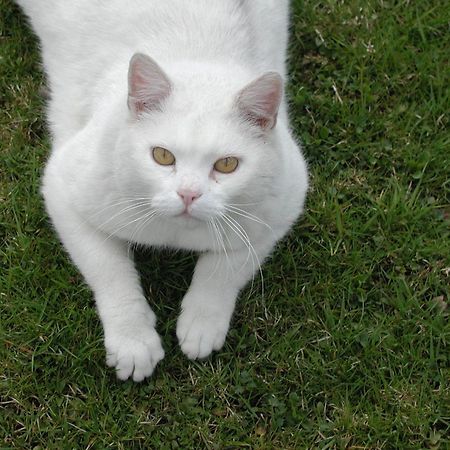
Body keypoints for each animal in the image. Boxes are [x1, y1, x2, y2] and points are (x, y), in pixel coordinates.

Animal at [16, 0, 306, 382]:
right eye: (162, 156)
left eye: (227, 165)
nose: (188, 194)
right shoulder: (63, 189)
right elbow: (110, 271)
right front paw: (132, 339)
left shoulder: (281, 205)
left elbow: (225, 268)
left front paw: (202, 322)